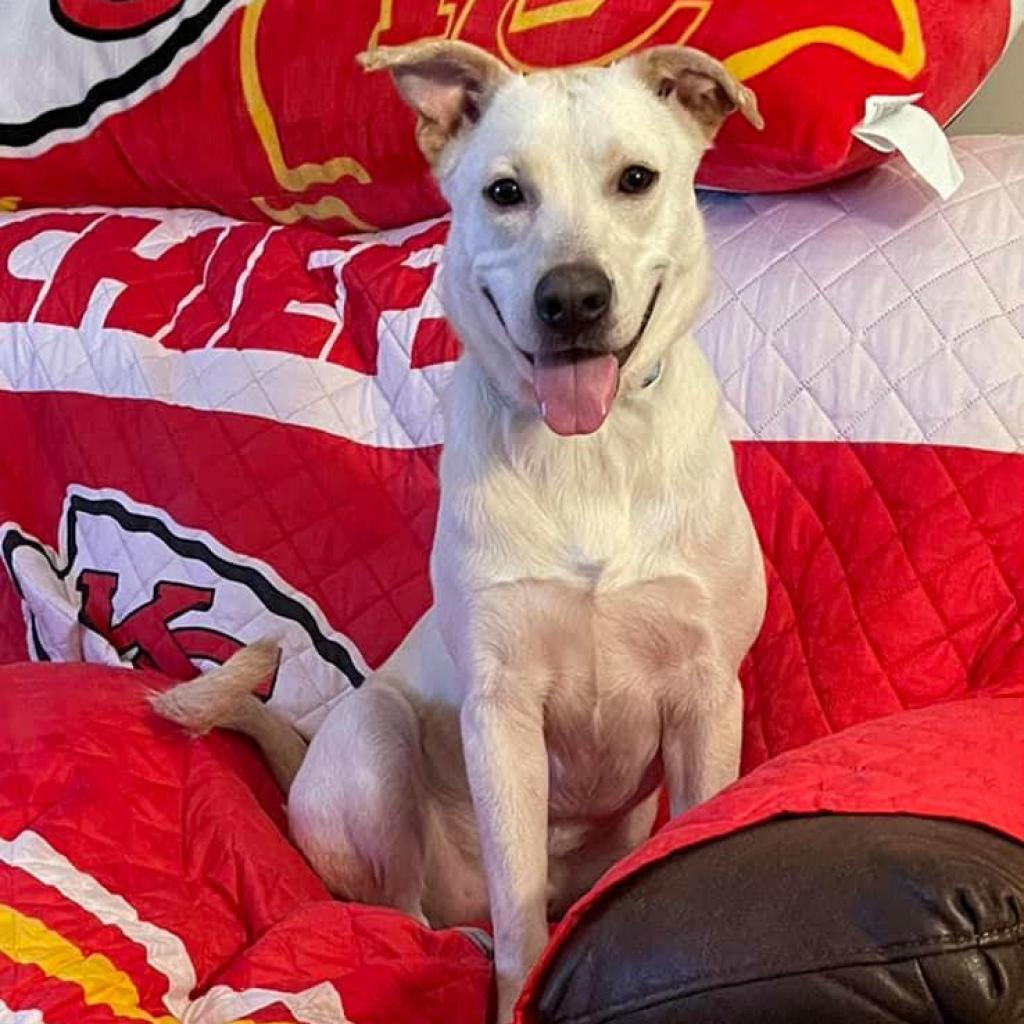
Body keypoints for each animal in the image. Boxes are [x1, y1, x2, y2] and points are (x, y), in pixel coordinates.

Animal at [153, 41, 770, 1024]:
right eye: (505, 192)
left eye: (636, 179)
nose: (572, 299)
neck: (588, 452)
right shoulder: (504, 712)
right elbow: (518, 915)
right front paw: (513, 987)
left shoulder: (708, 697)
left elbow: (700, 824)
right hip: (374, 741)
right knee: (404, 910)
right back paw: (450, 936)